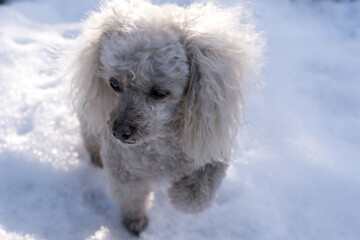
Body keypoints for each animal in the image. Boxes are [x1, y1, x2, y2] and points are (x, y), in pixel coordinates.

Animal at [65, 0, 262, 236]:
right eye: (114, 84)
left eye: (160, 93)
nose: (119, 131)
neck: (160, 142)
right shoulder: (124, 168)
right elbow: (131, 196)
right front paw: (135, 222)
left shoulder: (210, 152)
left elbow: (194, 198)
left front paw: (178, 193)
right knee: (91, 139)